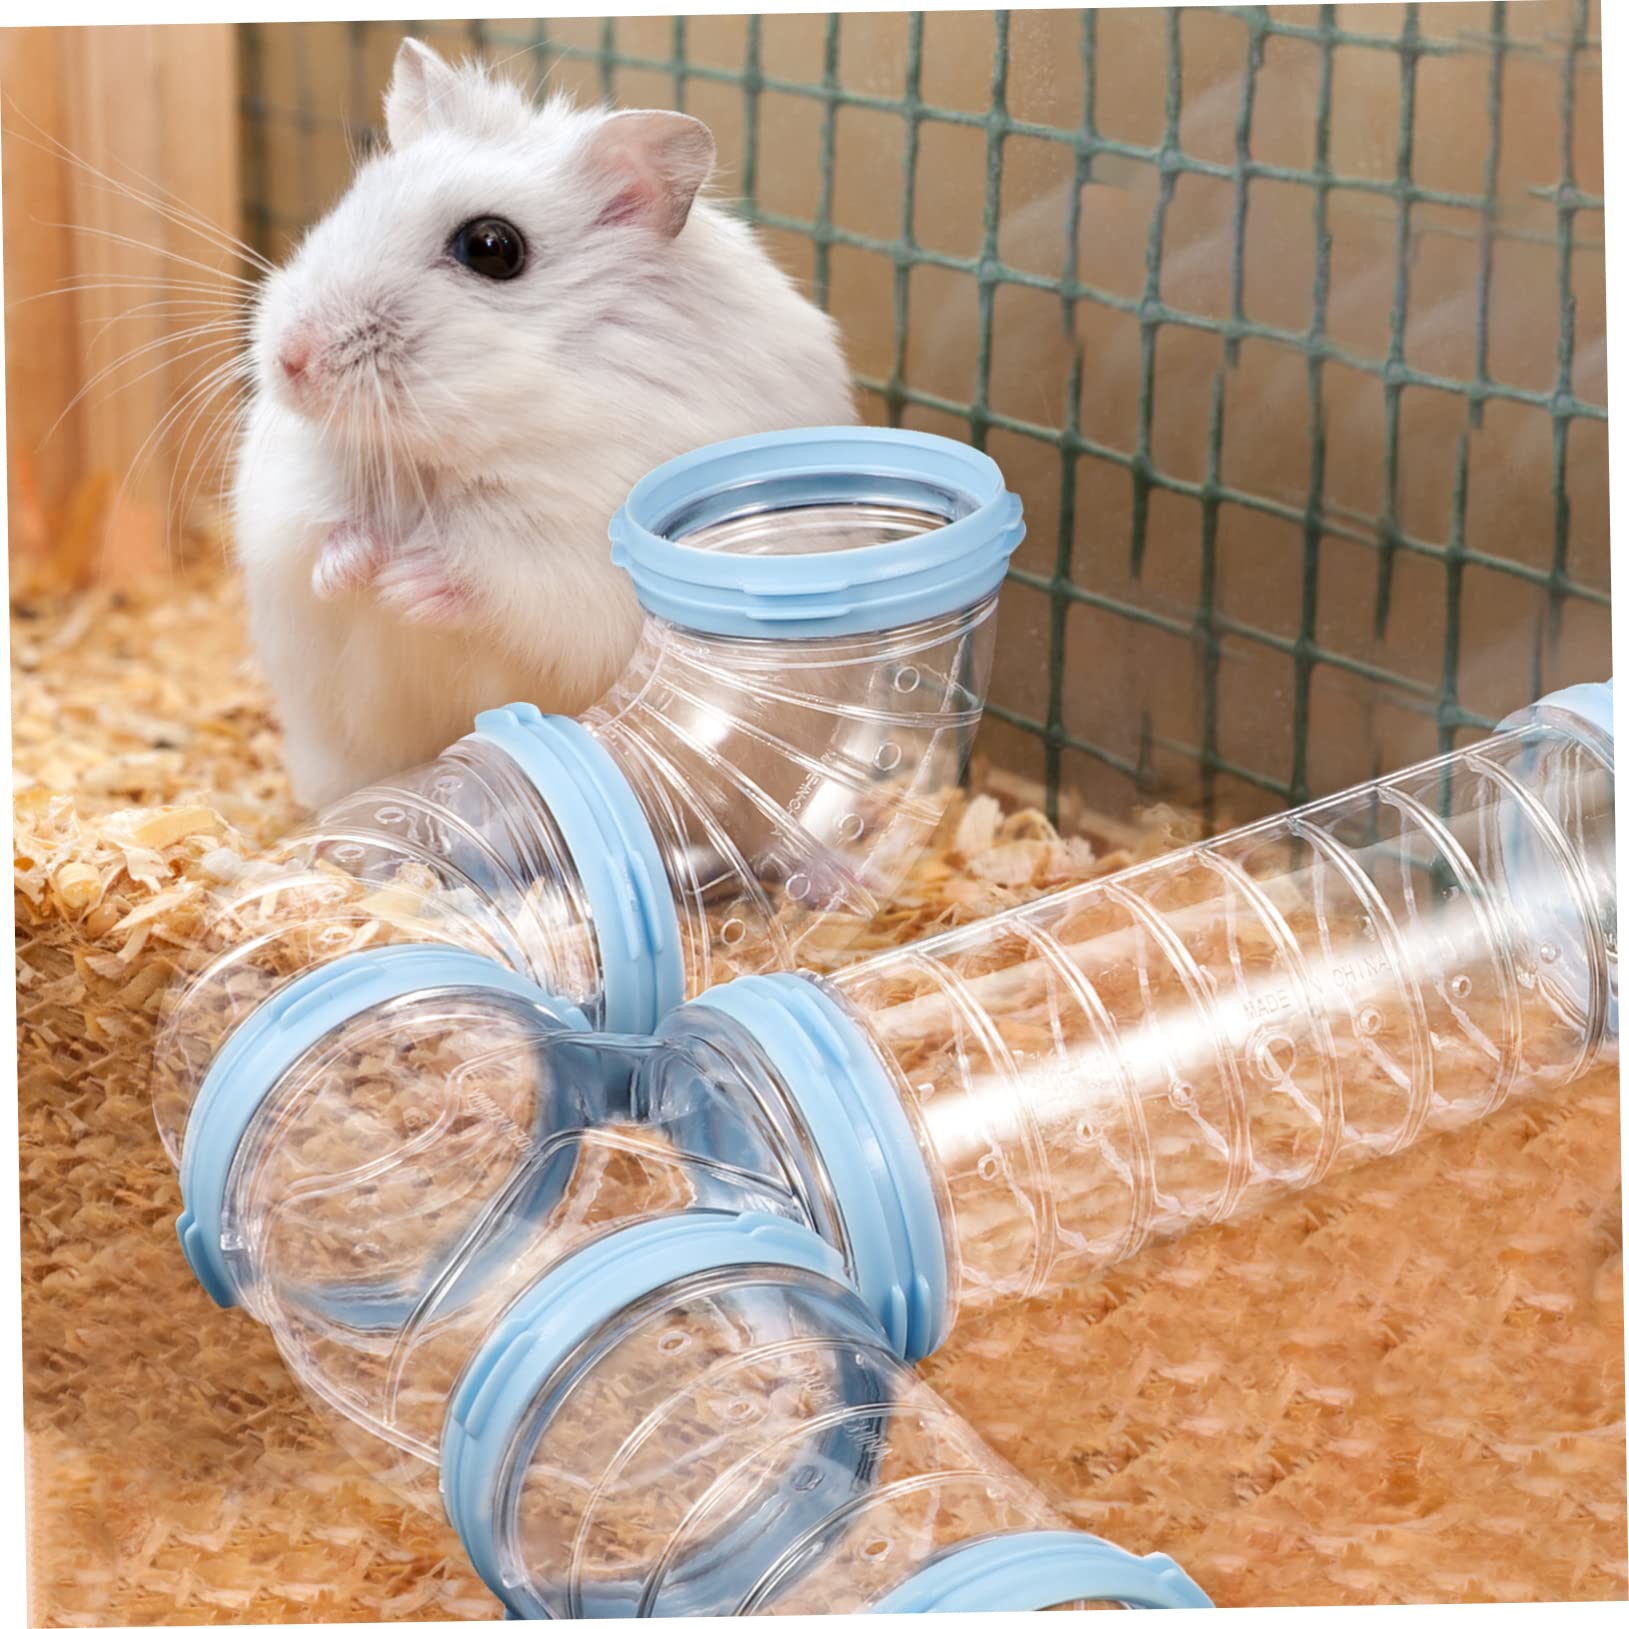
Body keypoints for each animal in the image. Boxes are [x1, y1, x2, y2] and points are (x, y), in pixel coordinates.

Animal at [235, 39, 856, 809]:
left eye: (492, 247)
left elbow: (499, 570)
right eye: (352, 204)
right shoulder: (288, 500)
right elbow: (318, 537)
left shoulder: (572, 553)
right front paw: (357, 572)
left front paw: (402, 586)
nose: (290, 359)